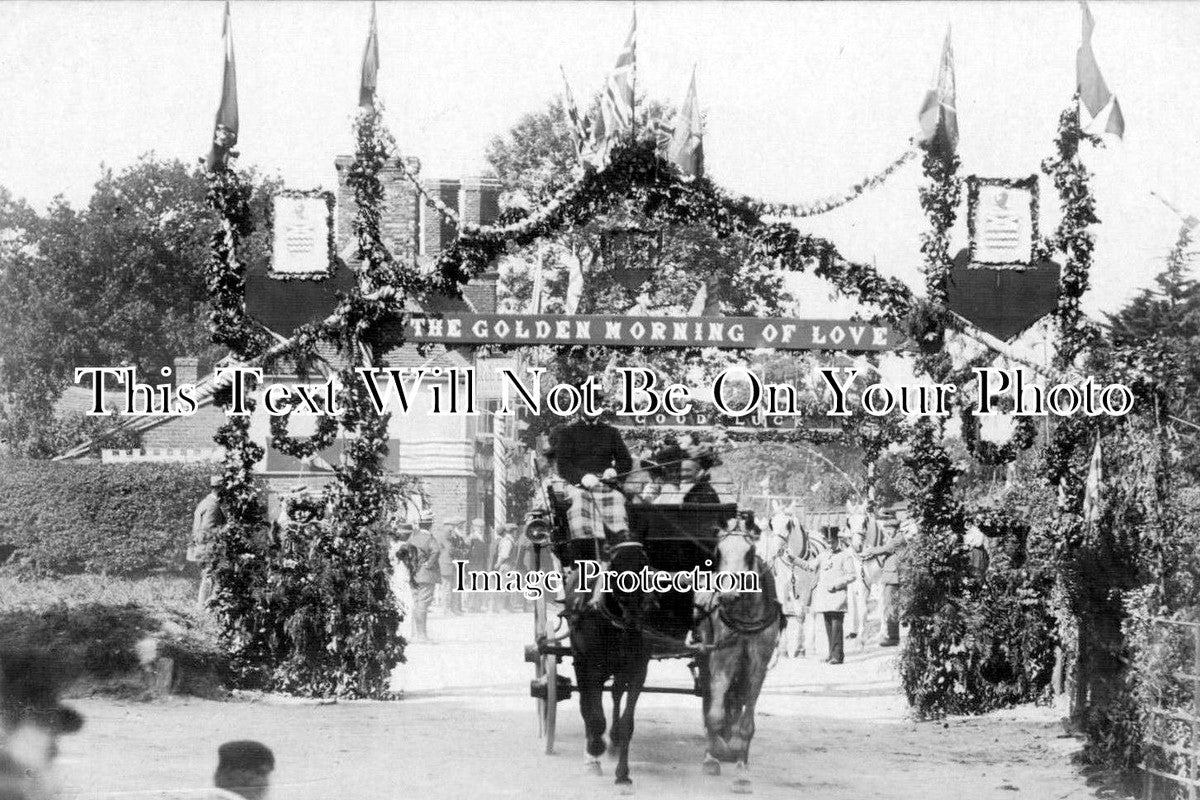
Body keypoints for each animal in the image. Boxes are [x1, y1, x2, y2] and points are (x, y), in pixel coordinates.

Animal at [564, 542, 652, 786]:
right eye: (614, 566)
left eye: (643, 563)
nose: (633, 612)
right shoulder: (593, 669)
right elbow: (595, 717)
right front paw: (595, 747)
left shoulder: (637, 672)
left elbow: (627, 723)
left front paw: (622, 773)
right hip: (580, 660)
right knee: (585, 703)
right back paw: (593, 751)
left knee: (615, 694)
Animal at [696, 515, 777, 791]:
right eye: (718, 552)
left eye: (750, 552)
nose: (729, 595)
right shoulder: (721, 660)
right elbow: (715, 713)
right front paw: (712, 756)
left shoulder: (758, 666)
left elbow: (746, 722)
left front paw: (742, 769)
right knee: (711, 699)